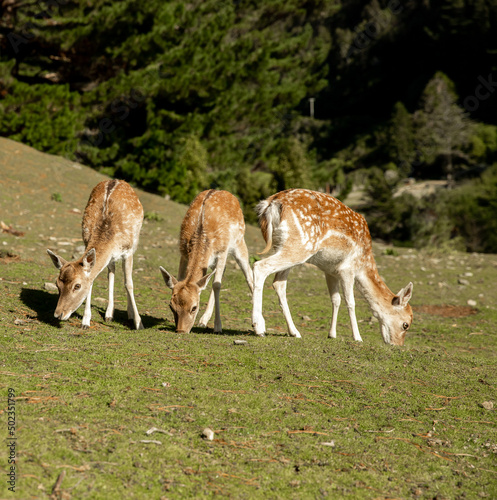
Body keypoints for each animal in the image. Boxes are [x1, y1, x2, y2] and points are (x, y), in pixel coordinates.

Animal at [46, 181, 144, 332]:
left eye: (77, 286)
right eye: (57, 283)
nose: (58, 314)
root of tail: (117, 180)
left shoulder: (128, 251)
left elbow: (129, 284)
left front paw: (139, 323)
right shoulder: (88, 242)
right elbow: (92, 281)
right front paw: (85, 322)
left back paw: (129, 314)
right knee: (111, 271)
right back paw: (109, 314)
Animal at [161, 189, 254, 334]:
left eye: (194, 307)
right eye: (171, 306)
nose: (181, 330)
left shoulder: (222, 252)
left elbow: (216, 284)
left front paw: (218, 326)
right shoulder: (183, 252)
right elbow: (183, 277)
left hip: (239, 242)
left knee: (249, 276)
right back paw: (203, 321)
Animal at [252, 189, 410, 346]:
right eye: (406, 324)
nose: (397, 345)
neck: (363, 264)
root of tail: (271, 204)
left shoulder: (330, 270)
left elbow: (336, 299)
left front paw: (332, 334)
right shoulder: (348, 268)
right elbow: (351, 302)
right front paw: (357, 337)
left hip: (283, 245)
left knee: (278, 283)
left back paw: (294, 332)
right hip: (301, 246)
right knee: (259, 266)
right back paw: (259, 327)